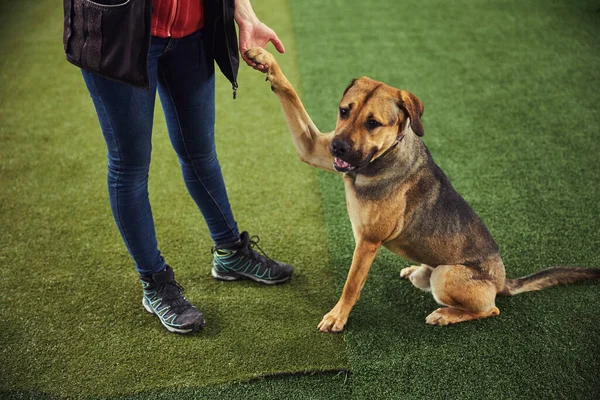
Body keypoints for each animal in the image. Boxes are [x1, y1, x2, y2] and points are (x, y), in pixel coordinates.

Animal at [244, 47, 600, 332]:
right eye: (344, 111)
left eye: (372, 123)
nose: (338, 148)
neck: (380, 160)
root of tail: (503, 280)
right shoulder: (312, 146)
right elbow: (290, 93)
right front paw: (265, 60)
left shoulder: (368, 242)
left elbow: (351, 286)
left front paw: (337, 317)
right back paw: (417, 270)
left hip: (447, 276)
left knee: (490, 309)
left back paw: (445, 315)